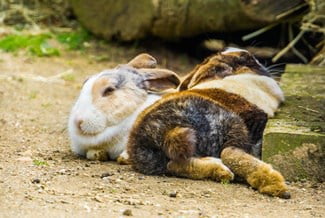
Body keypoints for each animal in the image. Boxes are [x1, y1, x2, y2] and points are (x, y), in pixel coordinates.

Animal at [126, 48, 288, 199]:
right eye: (248, 60)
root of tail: (165, 132)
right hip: (231, 122)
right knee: (229, 152)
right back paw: (275, 185)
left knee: (174, 165)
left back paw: (221, 172)